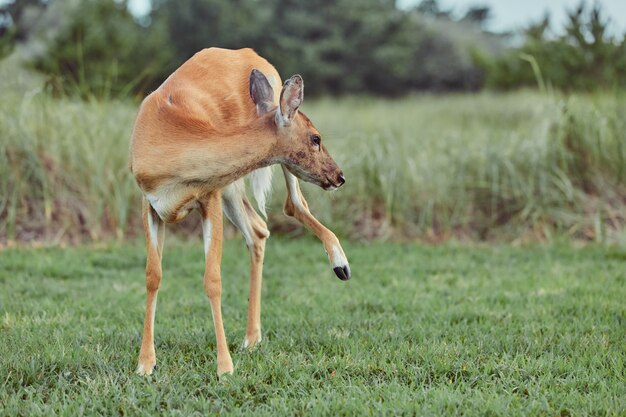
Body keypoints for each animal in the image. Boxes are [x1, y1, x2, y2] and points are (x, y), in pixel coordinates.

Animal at [129, 47, 348, 376]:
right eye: (316, 138)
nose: (339, 176)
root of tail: (250, 54)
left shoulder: (210, 194)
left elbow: (212, 279)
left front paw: (224, 366)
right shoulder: (150, 203)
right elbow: (152, 276)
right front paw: (145, 363)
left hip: (237, 181)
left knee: (291, 205)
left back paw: (340, 265)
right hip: (233, 184)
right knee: (259, 228)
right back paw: (251, 338)